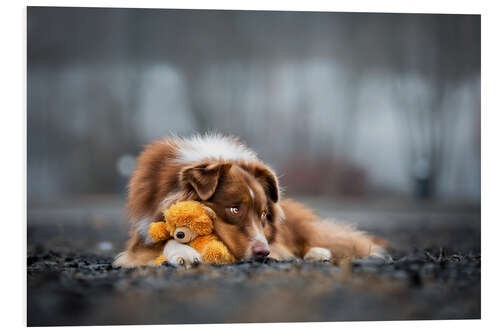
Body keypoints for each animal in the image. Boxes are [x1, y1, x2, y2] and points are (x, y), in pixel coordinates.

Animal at [113, 134, 386, 266]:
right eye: (234, 209)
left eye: (264, 214)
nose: (263, 252)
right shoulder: (141, 237)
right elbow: (163, 242)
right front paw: (184, 252)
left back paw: (319, 253)